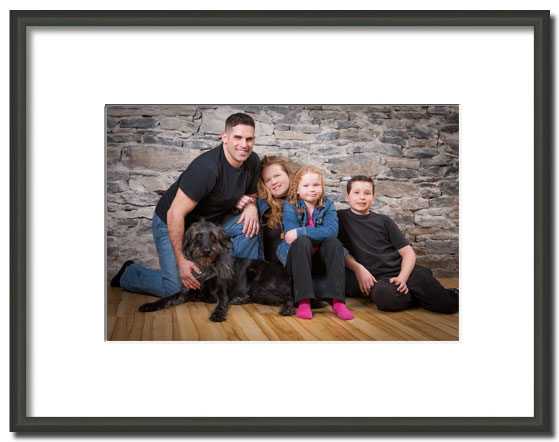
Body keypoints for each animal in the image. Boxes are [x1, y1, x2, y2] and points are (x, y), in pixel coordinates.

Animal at [138, 219, 294, 321]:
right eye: (198, 236)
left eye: (213, 236)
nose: (206, 250)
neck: (206, 267)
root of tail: (287, 272)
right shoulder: (186, 291)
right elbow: (167, 298)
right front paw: (150, 305)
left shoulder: (221, 293)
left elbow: (221, 303)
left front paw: (218, 313)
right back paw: (241, 299)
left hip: (260, 286)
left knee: (289, 298)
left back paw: (287, 309)